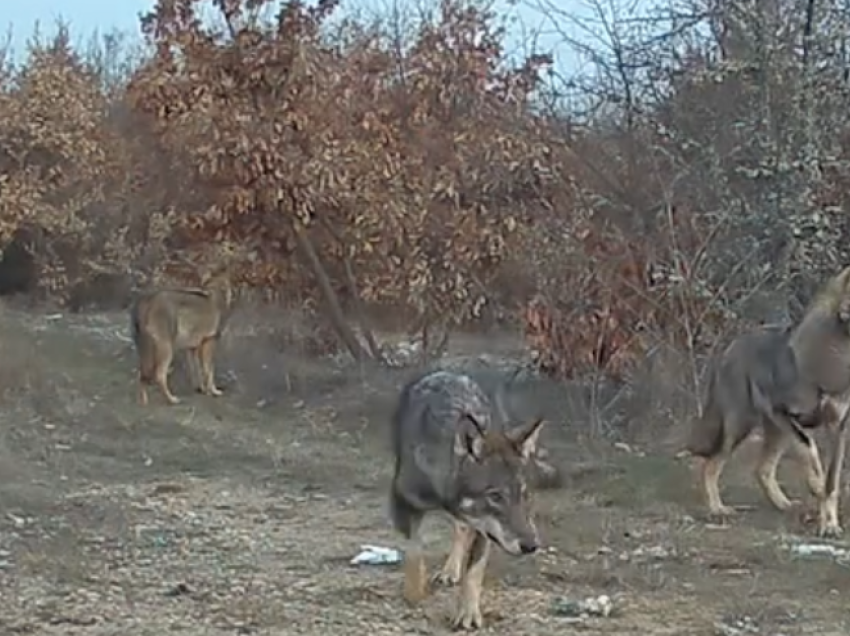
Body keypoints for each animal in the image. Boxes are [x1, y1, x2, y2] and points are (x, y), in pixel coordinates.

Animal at [127, 268, 232, 408]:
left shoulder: (192, 348)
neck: (214, 292)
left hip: (146, 351)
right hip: (167, 349)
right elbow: (208, 370)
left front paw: (201, 388)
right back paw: (171, 399)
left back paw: (143, 401)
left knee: (141, 374)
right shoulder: (209, 343)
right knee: (159, 375)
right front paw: (213, 390)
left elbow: (196, 370)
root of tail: (148, 300)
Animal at [390, 370, 544, 628]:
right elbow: (414, 550)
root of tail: (448, 373)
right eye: (495, 496)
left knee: (462, 529)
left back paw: (450, 571)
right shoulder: (405, 501)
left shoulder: (485, 529)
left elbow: (473, 573)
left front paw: (469, 615)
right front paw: (414, 593)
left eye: (524, 494)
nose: (531, 546)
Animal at [684, 264, 850, 536]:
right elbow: (812, 458)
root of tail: (732, 347)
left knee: (761, 470)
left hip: (776, 433)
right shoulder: (789, 417)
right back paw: (718, 510)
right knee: (711, 466)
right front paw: (818, 497)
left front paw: (831, 525)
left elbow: (831, 484)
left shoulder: (838, 428)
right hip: (741, 428)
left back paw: (785, 505)